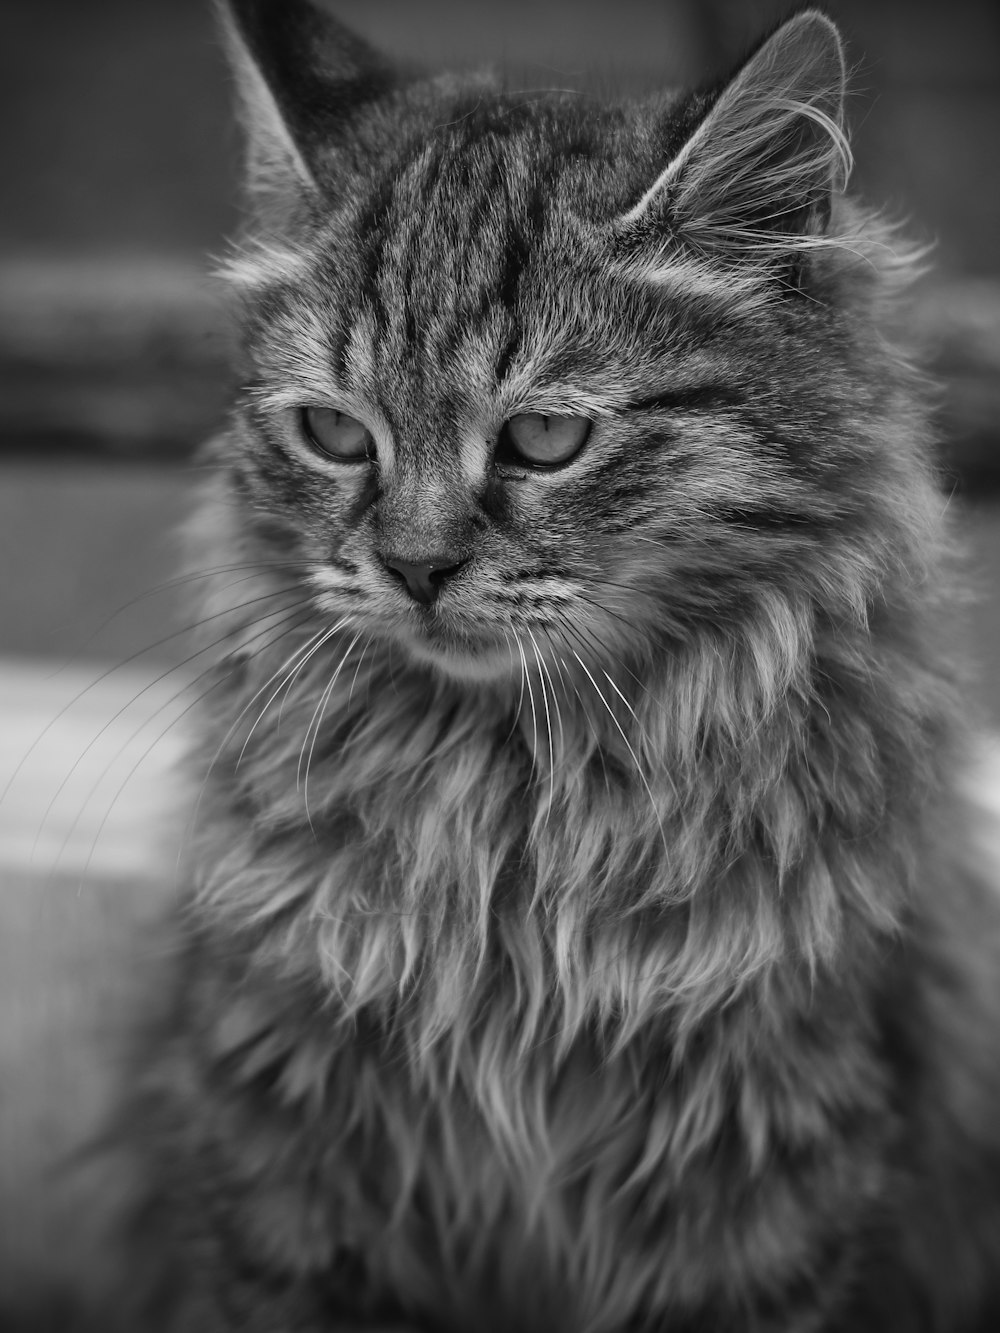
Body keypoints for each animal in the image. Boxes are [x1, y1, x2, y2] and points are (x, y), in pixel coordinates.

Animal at [109, 2, 1000, 1333]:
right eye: (334, 433)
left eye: (543, 437)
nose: (414, 565)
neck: (513, 803)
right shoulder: (280, 1135)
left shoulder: (774, 1152)